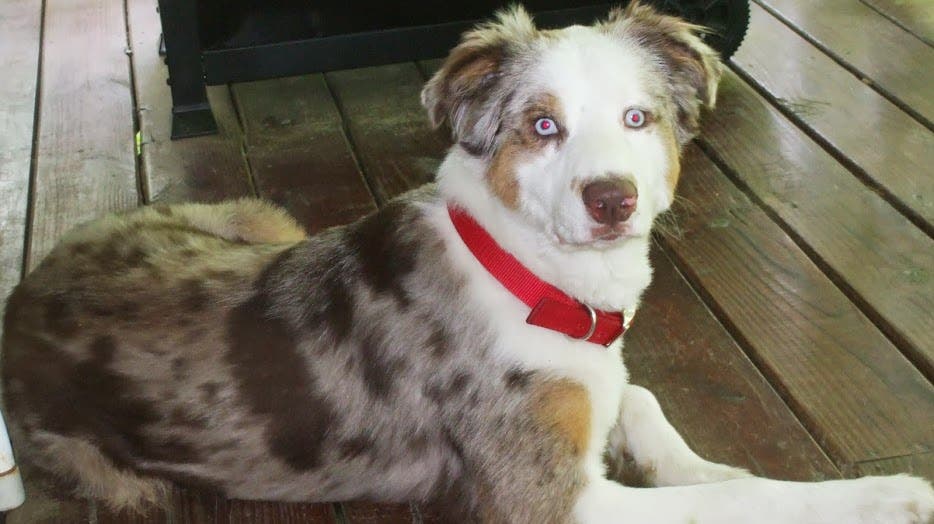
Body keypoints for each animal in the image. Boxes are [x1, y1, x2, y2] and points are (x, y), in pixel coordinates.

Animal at [3, 3, 932, 522]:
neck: (539, 284)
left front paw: (703, 459)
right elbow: (738, 497)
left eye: (639, 118)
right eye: (542, 125)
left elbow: (647, 405)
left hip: (264, 217)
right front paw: (890, 498)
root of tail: (23, 295)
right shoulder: (548, 498)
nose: (613, 200)